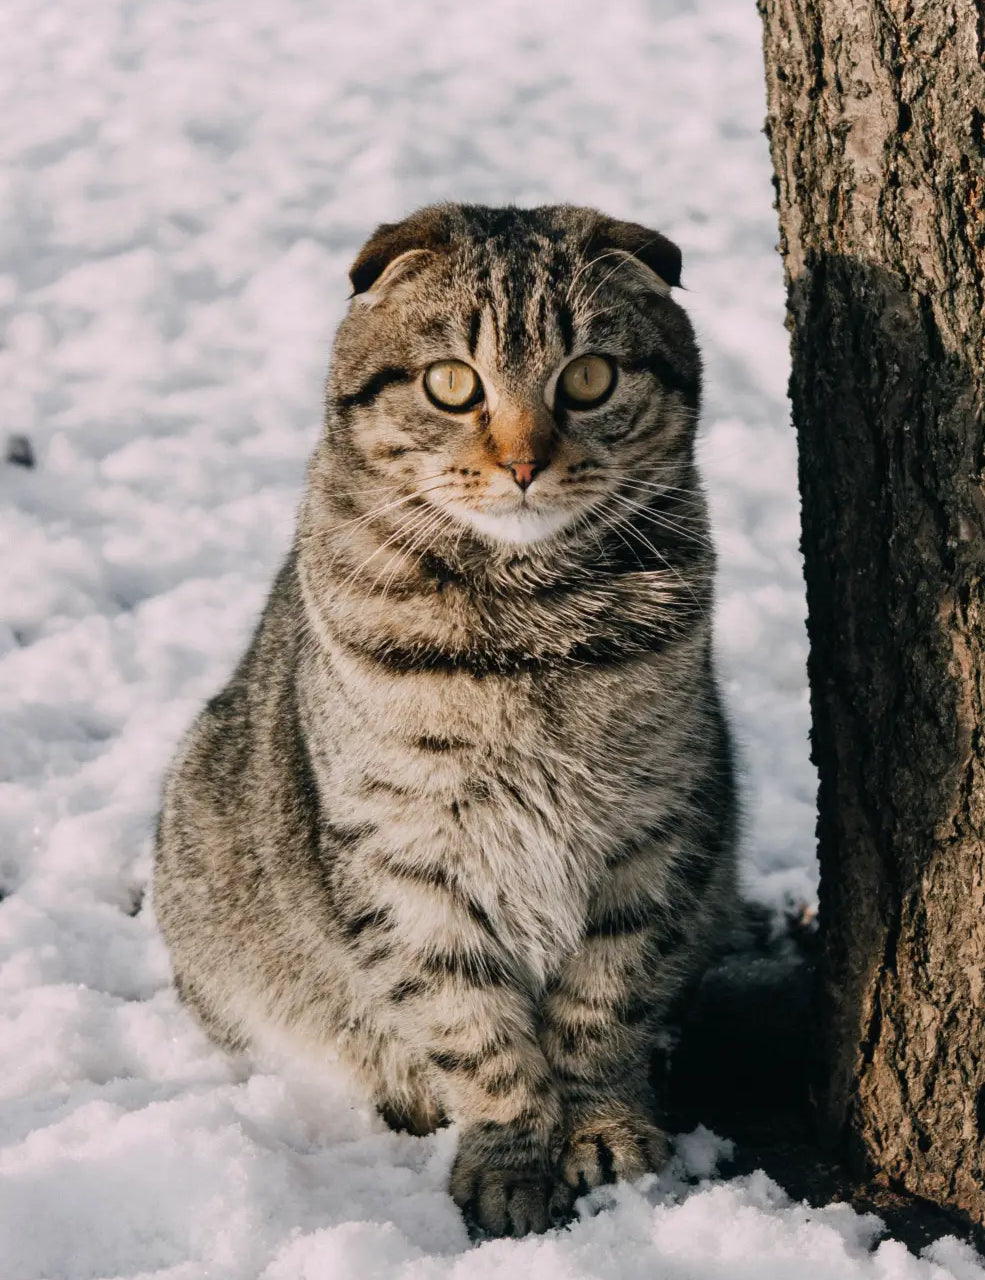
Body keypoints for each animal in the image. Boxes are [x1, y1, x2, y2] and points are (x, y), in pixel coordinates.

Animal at [153, 202, 731, 1239]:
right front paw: (509, 1157)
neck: (531, 620)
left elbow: (604, 1001)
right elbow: (472, 1025)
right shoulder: (408, 857)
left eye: (589, 377)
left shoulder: (655, 831)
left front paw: (603, 1127)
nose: (524, 463)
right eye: (452, 384)